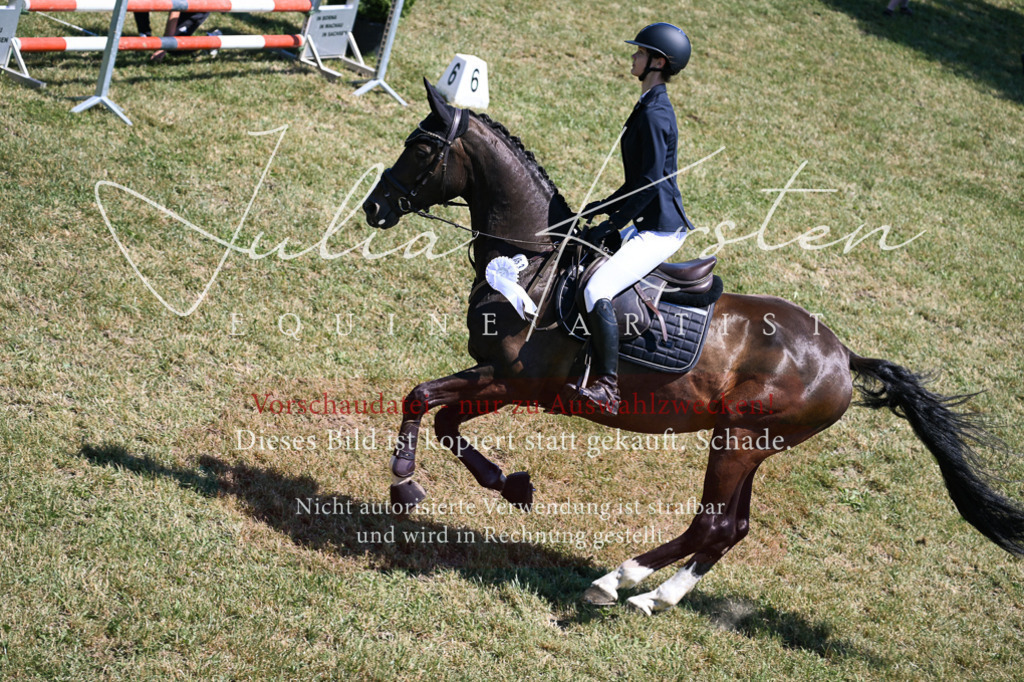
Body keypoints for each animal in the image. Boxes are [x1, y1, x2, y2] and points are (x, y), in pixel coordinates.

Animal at [361, 80, 1024, 614]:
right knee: (731, 527)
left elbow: (422, 398)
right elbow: (443, 418)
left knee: (714, 522)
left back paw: (619, 582)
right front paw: (509, 484)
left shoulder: (515, 380)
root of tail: (843, 357)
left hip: (741, 439)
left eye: (420, 149)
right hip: (749, 443)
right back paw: (656, 595)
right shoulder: (504, 381)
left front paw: (404, 483)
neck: (533, 261)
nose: (374, 207)